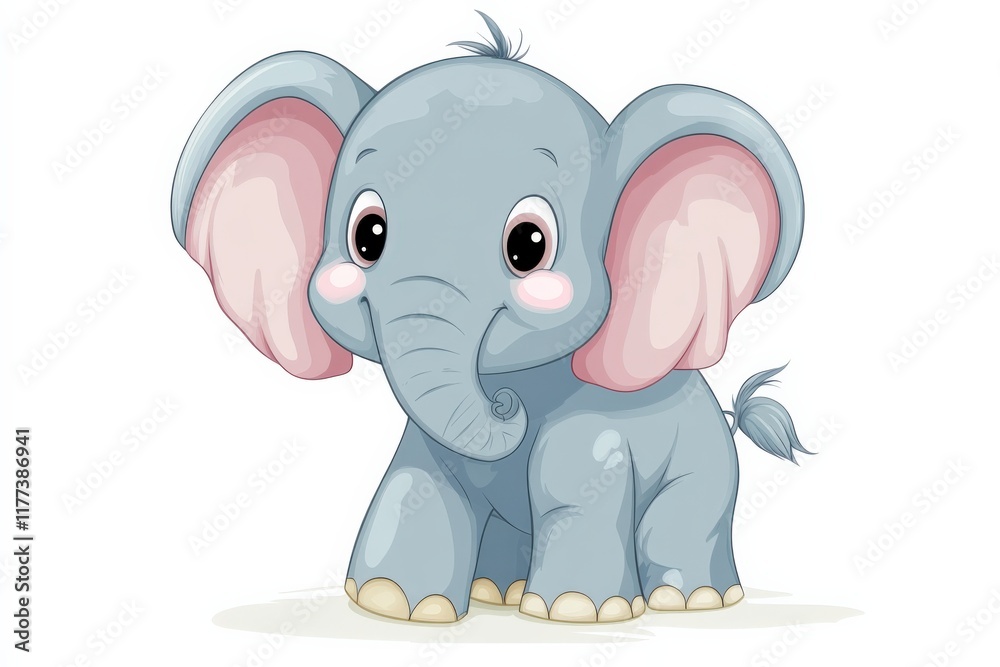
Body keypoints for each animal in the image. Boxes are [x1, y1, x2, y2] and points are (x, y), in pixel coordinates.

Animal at [170, 13, 807, 625]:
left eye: (528, 245)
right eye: (367, 236)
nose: (504, 406)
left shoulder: (597, 429)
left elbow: (572, 486)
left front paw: (576, 611)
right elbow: (419, 483)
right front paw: (393, 604)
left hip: (707, 468)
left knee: (688, 518)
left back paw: (691, 601)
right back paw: (497, 593)